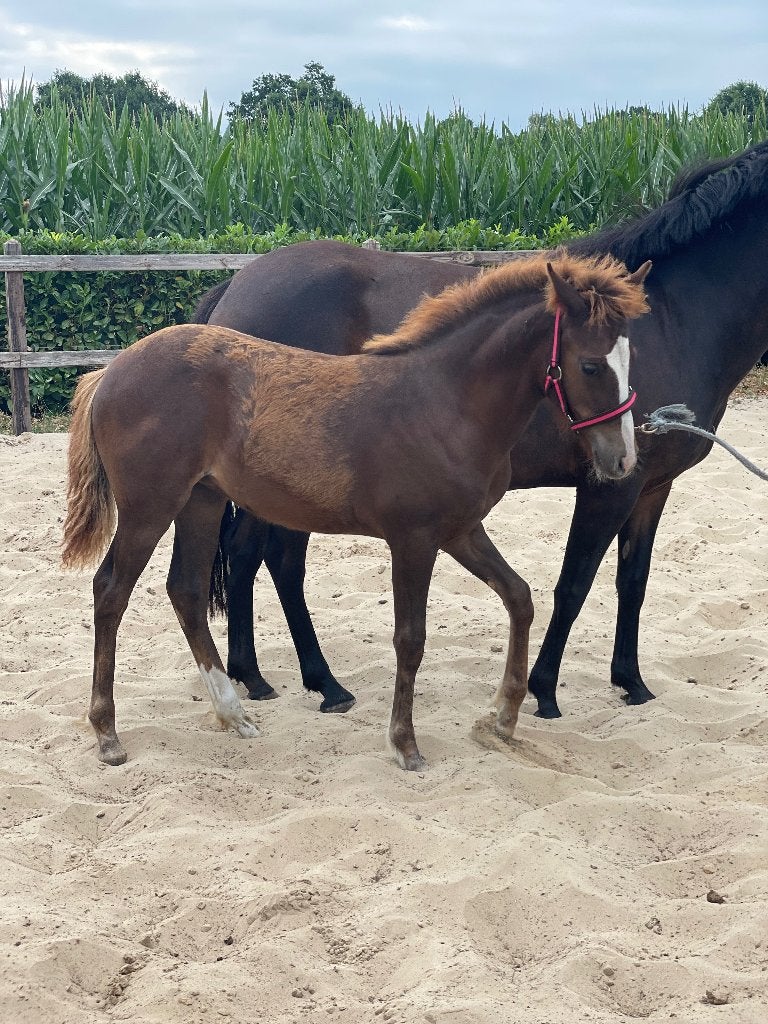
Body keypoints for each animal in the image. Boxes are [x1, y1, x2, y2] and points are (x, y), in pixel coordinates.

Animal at [62, 254, 650, 769]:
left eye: (632, 358)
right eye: (590, 364)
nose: (622, 459)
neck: (446, 403)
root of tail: (110, 371)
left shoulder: (460, 530)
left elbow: (520, 597)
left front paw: (502, 718)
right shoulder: (413, 539)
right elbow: (410, 639)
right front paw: (405, 745)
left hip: (200, 502)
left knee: (184, 591)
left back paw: (233, 715)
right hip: (150, 507)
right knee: (110, 591)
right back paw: (108, 734)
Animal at [194, 138, 768, 719]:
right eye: (589, 366)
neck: (677, 319)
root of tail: (235, 287)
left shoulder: (652, 485)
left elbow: (633, 581)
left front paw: (631, 681)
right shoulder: (608, 486)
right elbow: (574, 585)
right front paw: (544, 691)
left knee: (247, 554)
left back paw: (256, 675)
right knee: (279, 561)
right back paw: (321, 682)